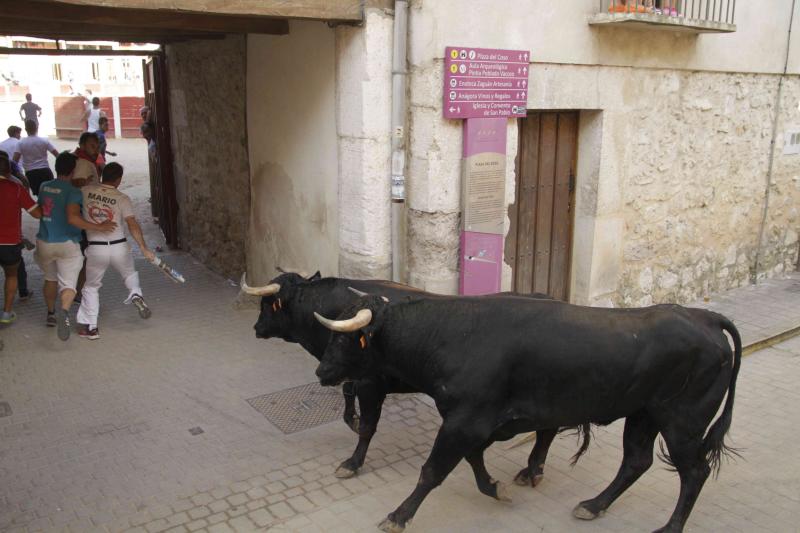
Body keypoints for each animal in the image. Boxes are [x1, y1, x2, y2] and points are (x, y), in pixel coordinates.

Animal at [316, 296, 740, 532]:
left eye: (343, 339)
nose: (321, 372)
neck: (453, 335)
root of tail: (704, 317)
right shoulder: (474, 423)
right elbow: (473, 459)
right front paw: (495, 487)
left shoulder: (465, 422)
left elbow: (432, 471)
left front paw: (399, 516)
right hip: (643, 416)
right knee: (636, 461)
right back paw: (593, 505)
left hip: (683, 423)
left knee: (694, 472)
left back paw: (669, 527)